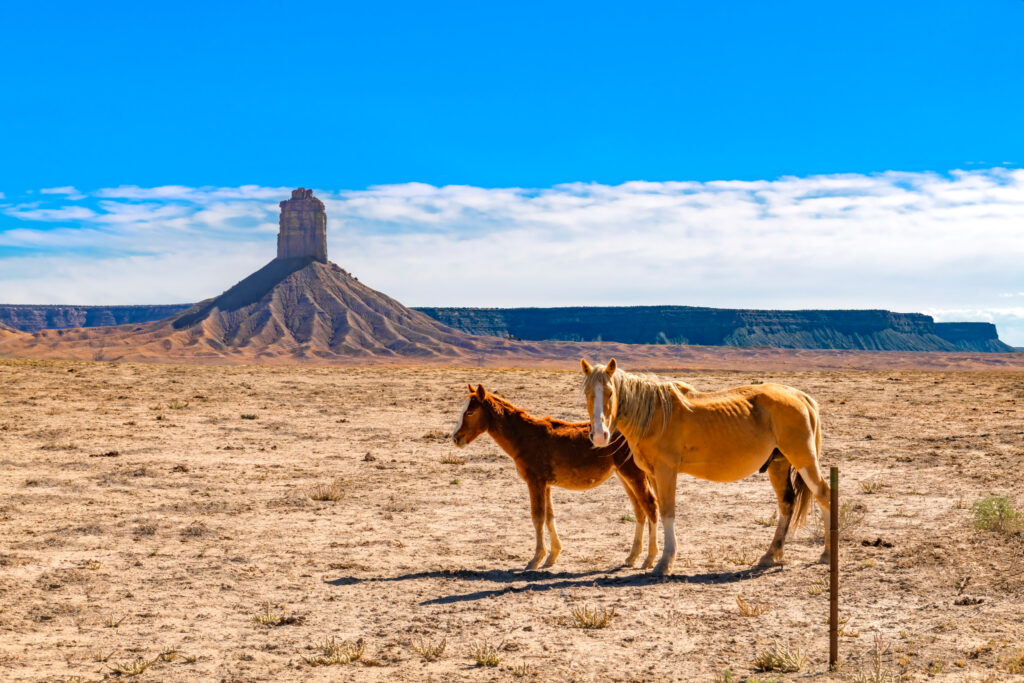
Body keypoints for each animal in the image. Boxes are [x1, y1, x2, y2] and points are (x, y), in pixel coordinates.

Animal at [452, 385, 659, 573]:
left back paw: (649, 559)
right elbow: (549, 516)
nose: (455, 438)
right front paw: (552, 556)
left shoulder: (535, 482)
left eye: (470, 412)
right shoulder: (546, 485)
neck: (524, 436)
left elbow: (537, 517)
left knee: (650, 507)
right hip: (624, 476)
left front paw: (535, 559)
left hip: (633, 474)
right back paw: (632, 557)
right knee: (640, 511)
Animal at [581, 360, 827, 573]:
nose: (600, 436)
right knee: (786, 504)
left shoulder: (666, 471)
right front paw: (651, 558)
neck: (655, 416)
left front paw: (665, 563)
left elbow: (667, 512)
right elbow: (656, 510)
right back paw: (771, 555)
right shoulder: (652, 473)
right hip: (778, 464)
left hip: (803, 459)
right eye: (587, 393)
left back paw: (825, 554)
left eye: (610, 392)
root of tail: (800, 396)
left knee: (823, 493)